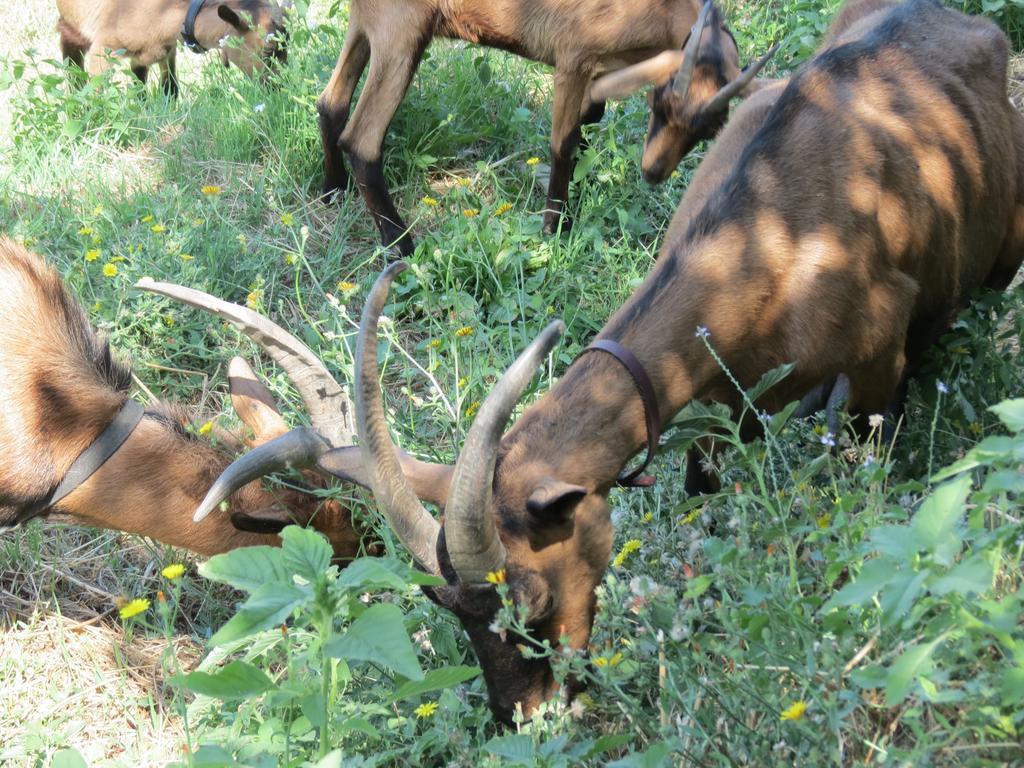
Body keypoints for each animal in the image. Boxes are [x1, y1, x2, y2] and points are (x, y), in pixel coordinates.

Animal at [57, 0, 286, 96]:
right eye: (268, 50)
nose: (279, 87)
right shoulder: (103, 48)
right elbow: (95, 92)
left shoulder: (163, 51)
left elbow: (167, 89)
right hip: (72, 26)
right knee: (72, 62)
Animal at [315, 0, 770, 259]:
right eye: (659, 104)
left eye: (709, 132)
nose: (653, 172)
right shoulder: (574, 56)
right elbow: (562, 143)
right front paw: (556, 228)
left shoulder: (600, 71)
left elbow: (591, 118)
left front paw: (577, 198)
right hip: (402, 30)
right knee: (362, 138)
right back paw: (401, 246)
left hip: (367, 25)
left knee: (330, 102)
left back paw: (333, 191)